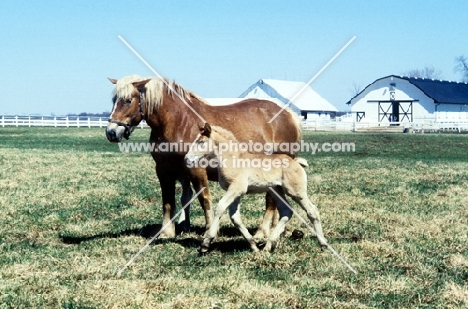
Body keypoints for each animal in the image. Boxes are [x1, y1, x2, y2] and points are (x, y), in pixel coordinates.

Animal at [185, 121, 328, 251]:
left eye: (201, 142)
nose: (186, 159)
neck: (232, 158)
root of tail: (296, 162)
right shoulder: (236, 192)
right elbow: (235, 217)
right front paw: (253, 245)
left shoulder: (236, 189)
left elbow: (220, 207)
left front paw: (206, 243)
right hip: (277, 191)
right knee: (286, 211)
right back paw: (268, 246)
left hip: (296, 192)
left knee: (312, 211)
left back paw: (324, 245)